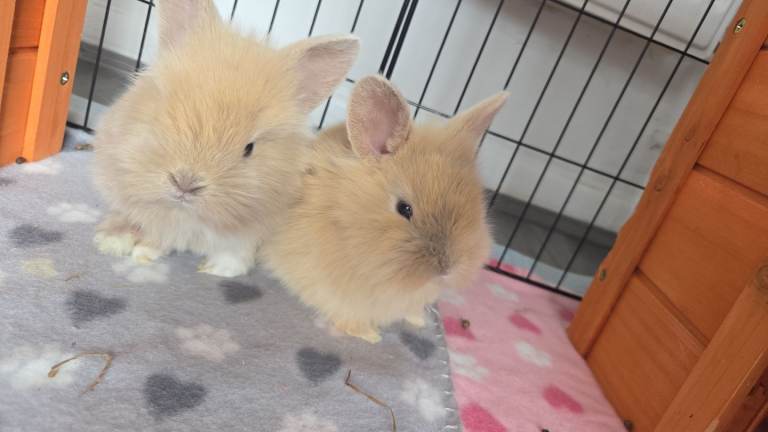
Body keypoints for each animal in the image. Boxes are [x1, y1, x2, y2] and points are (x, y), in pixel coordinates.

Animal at [91, 0, 359, 277]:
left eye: (249, 148)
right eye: (165, 116)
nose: (185, 183)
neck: (186, 214)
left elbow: (234, 254)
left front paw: (216, 270)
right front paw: (138, 253)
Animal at [261, 75, 508, 343]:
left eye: (477, 205)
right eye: (404, 208)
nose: (448, 268)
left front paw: (418, 320)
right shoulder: (336, 292)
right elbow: (347, 316)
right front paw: (371, 336)